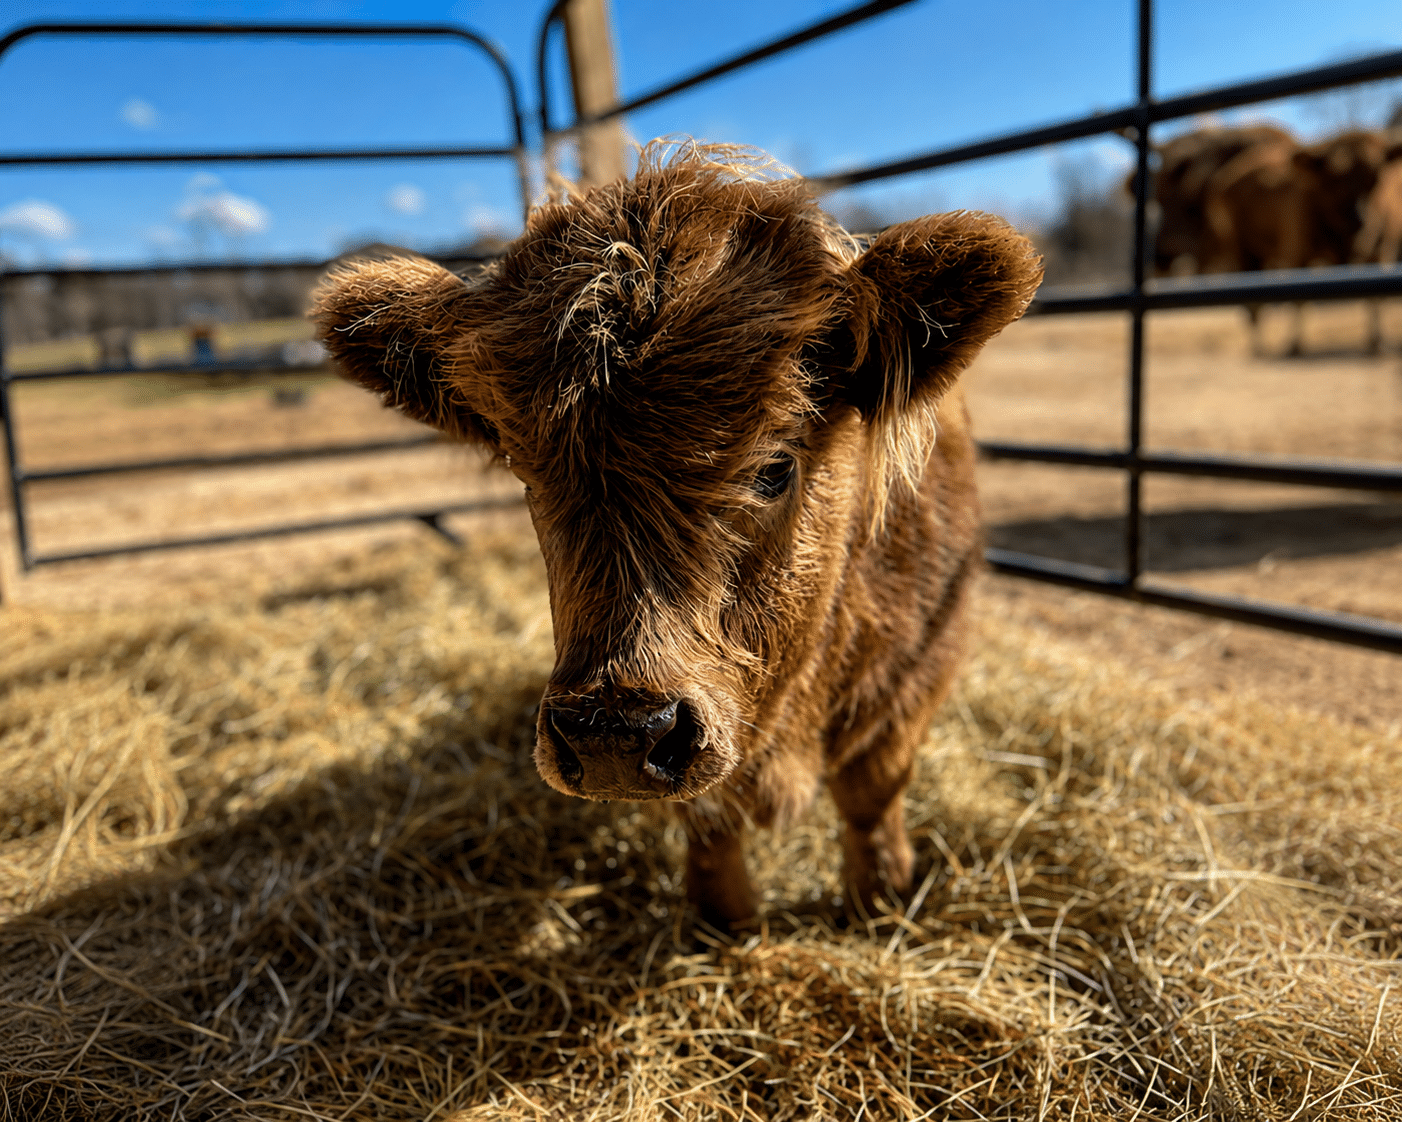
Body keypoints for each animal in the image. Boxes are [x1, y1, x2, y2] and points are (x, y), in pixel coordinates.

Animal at [312, 143, 1041, 925]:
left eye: (773, 469)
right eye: (528, 477)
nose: (613, 737)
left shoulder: (917, 666)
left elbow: (871, 792)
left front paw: (880, 898)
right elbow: (711, 820)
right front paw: (726, 918)